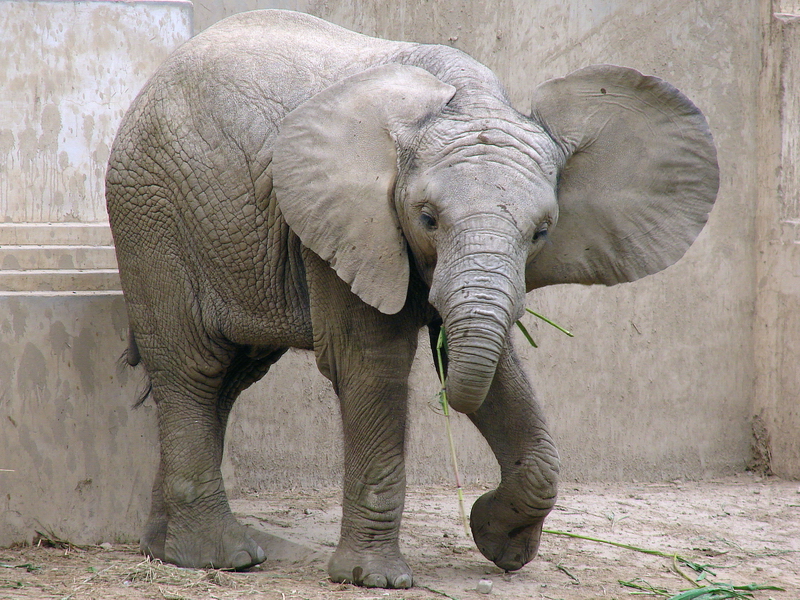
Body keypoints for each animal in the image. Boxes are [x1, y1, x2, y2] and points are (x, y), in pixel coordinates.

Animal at [105, 9, 718, 589]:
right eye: (426, 218)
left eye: (542, 231)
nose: (444, 397)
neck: (463, 100)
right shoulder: (341, 226)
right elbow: (372, 365)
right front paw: (374, 578)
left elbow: (497, 369)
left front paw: (501, 544)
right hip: (153, 218)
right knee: (194, 369)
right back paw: (220, 558)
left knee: (230, 379)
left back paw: (164, 549)